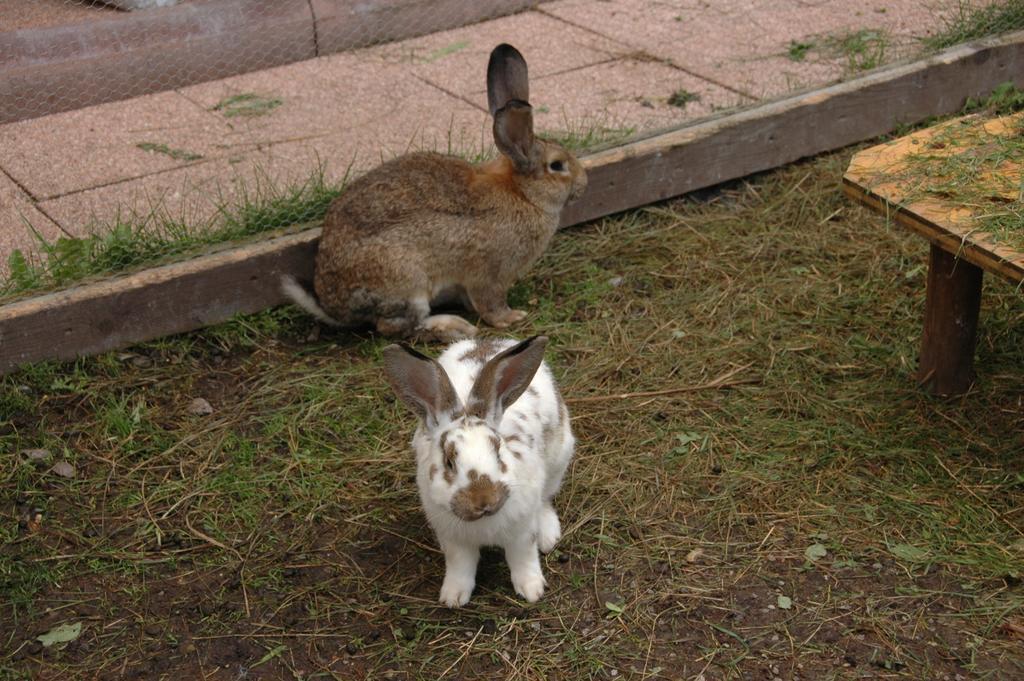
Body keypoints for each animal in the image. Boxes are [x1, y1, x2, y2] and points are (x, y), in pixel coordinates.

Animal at [282, 43, 585, 339]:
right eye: (557, 166)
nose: (583, 182)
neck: (523, 194)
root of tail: (332, 305)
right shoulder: (490, 275)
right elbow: (490, 303)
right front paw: (511, 317)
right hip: (407, 283)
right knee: (394, 327)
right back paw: (453, 327)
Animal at [385, 333, 577, 606]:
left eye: (498, 450)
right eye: (449, 461)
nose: (484, 500)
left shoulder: (521, 532)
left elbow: (523, 558)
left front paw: (532, 589)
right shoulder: (453, 540)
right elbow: (460, 566)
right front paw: (453, 597)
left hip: (559, 458)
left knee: (547, 498)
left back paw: (548, 535)